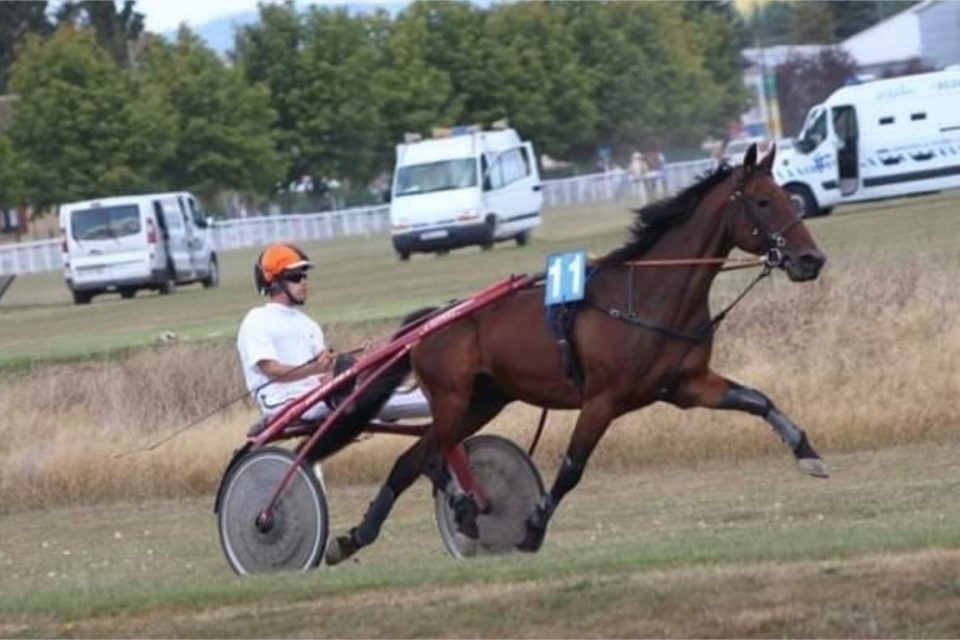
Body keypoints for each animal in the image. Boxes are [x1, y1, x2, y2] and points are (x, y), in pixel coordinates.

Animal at [328, 145, 824, 564]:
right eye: (763, 201)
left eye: (787, 196)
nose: (811, 260)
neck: (647, 296)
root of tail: (431, 320)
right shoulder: (602, 400)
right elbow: (571, 468)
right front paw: (531, 528)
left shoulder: (687, 386)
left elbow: (758, 400)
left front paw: (807, 451)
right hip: (451, 397)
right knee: (431, 455)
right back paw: (464, 509)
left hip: (481, 401)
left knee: (410, 460)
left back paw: (355, 537)